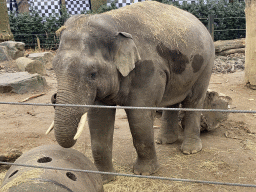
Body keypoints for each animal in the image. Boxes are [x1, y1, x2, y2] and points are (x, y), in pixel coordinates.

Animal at [47, 1, 214, 183]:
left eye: (92, 74)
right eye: (54, 68)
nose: (53, 97)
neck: (113, 24)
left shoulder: (148, 69)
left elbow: (138, 116)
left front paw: (144, 173)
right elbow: (99, 118)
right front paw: (105, 179)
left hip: (206, 64)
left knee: (194, 100)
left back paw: (190, 150)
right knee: (172, 101)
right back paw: (164, 141)